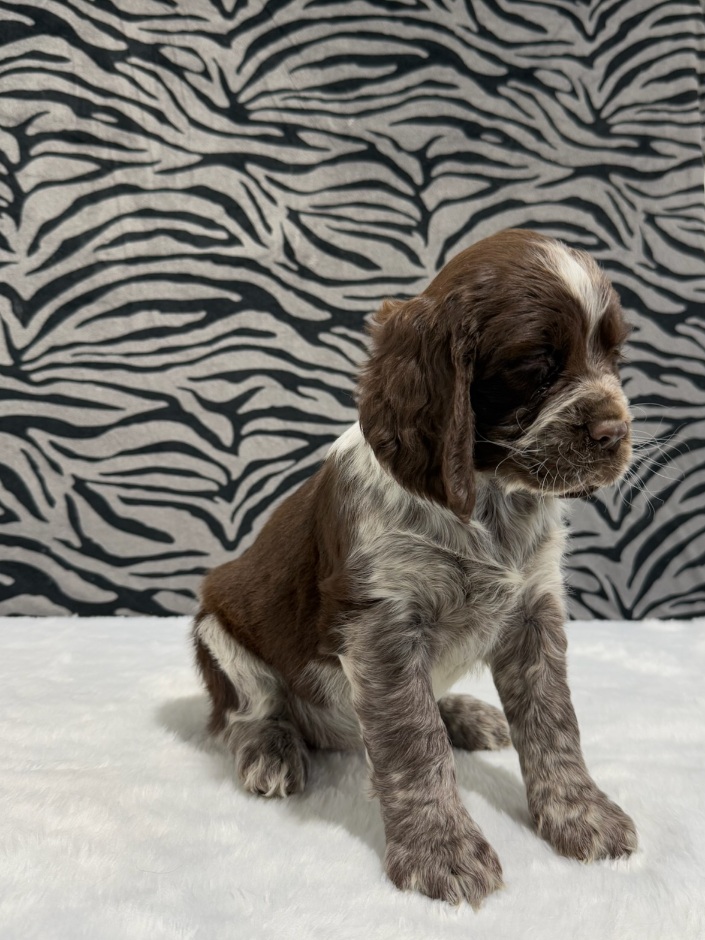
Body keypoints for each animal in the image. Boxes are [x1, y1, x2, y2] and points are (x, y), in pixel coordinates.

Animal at [192, 228, 638, 907]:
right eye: (536, 366)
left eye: (614, 357)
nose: (617, 432)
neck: (487, 501)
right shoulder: (382, 628)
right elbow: (412, 742)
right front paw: (441, 851)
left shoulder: (534, 611)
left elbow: (555, 723)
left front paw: (580, 813)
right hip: (217, 624)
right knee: (250, 710)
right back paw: (271, 749)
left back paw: (464, 714)